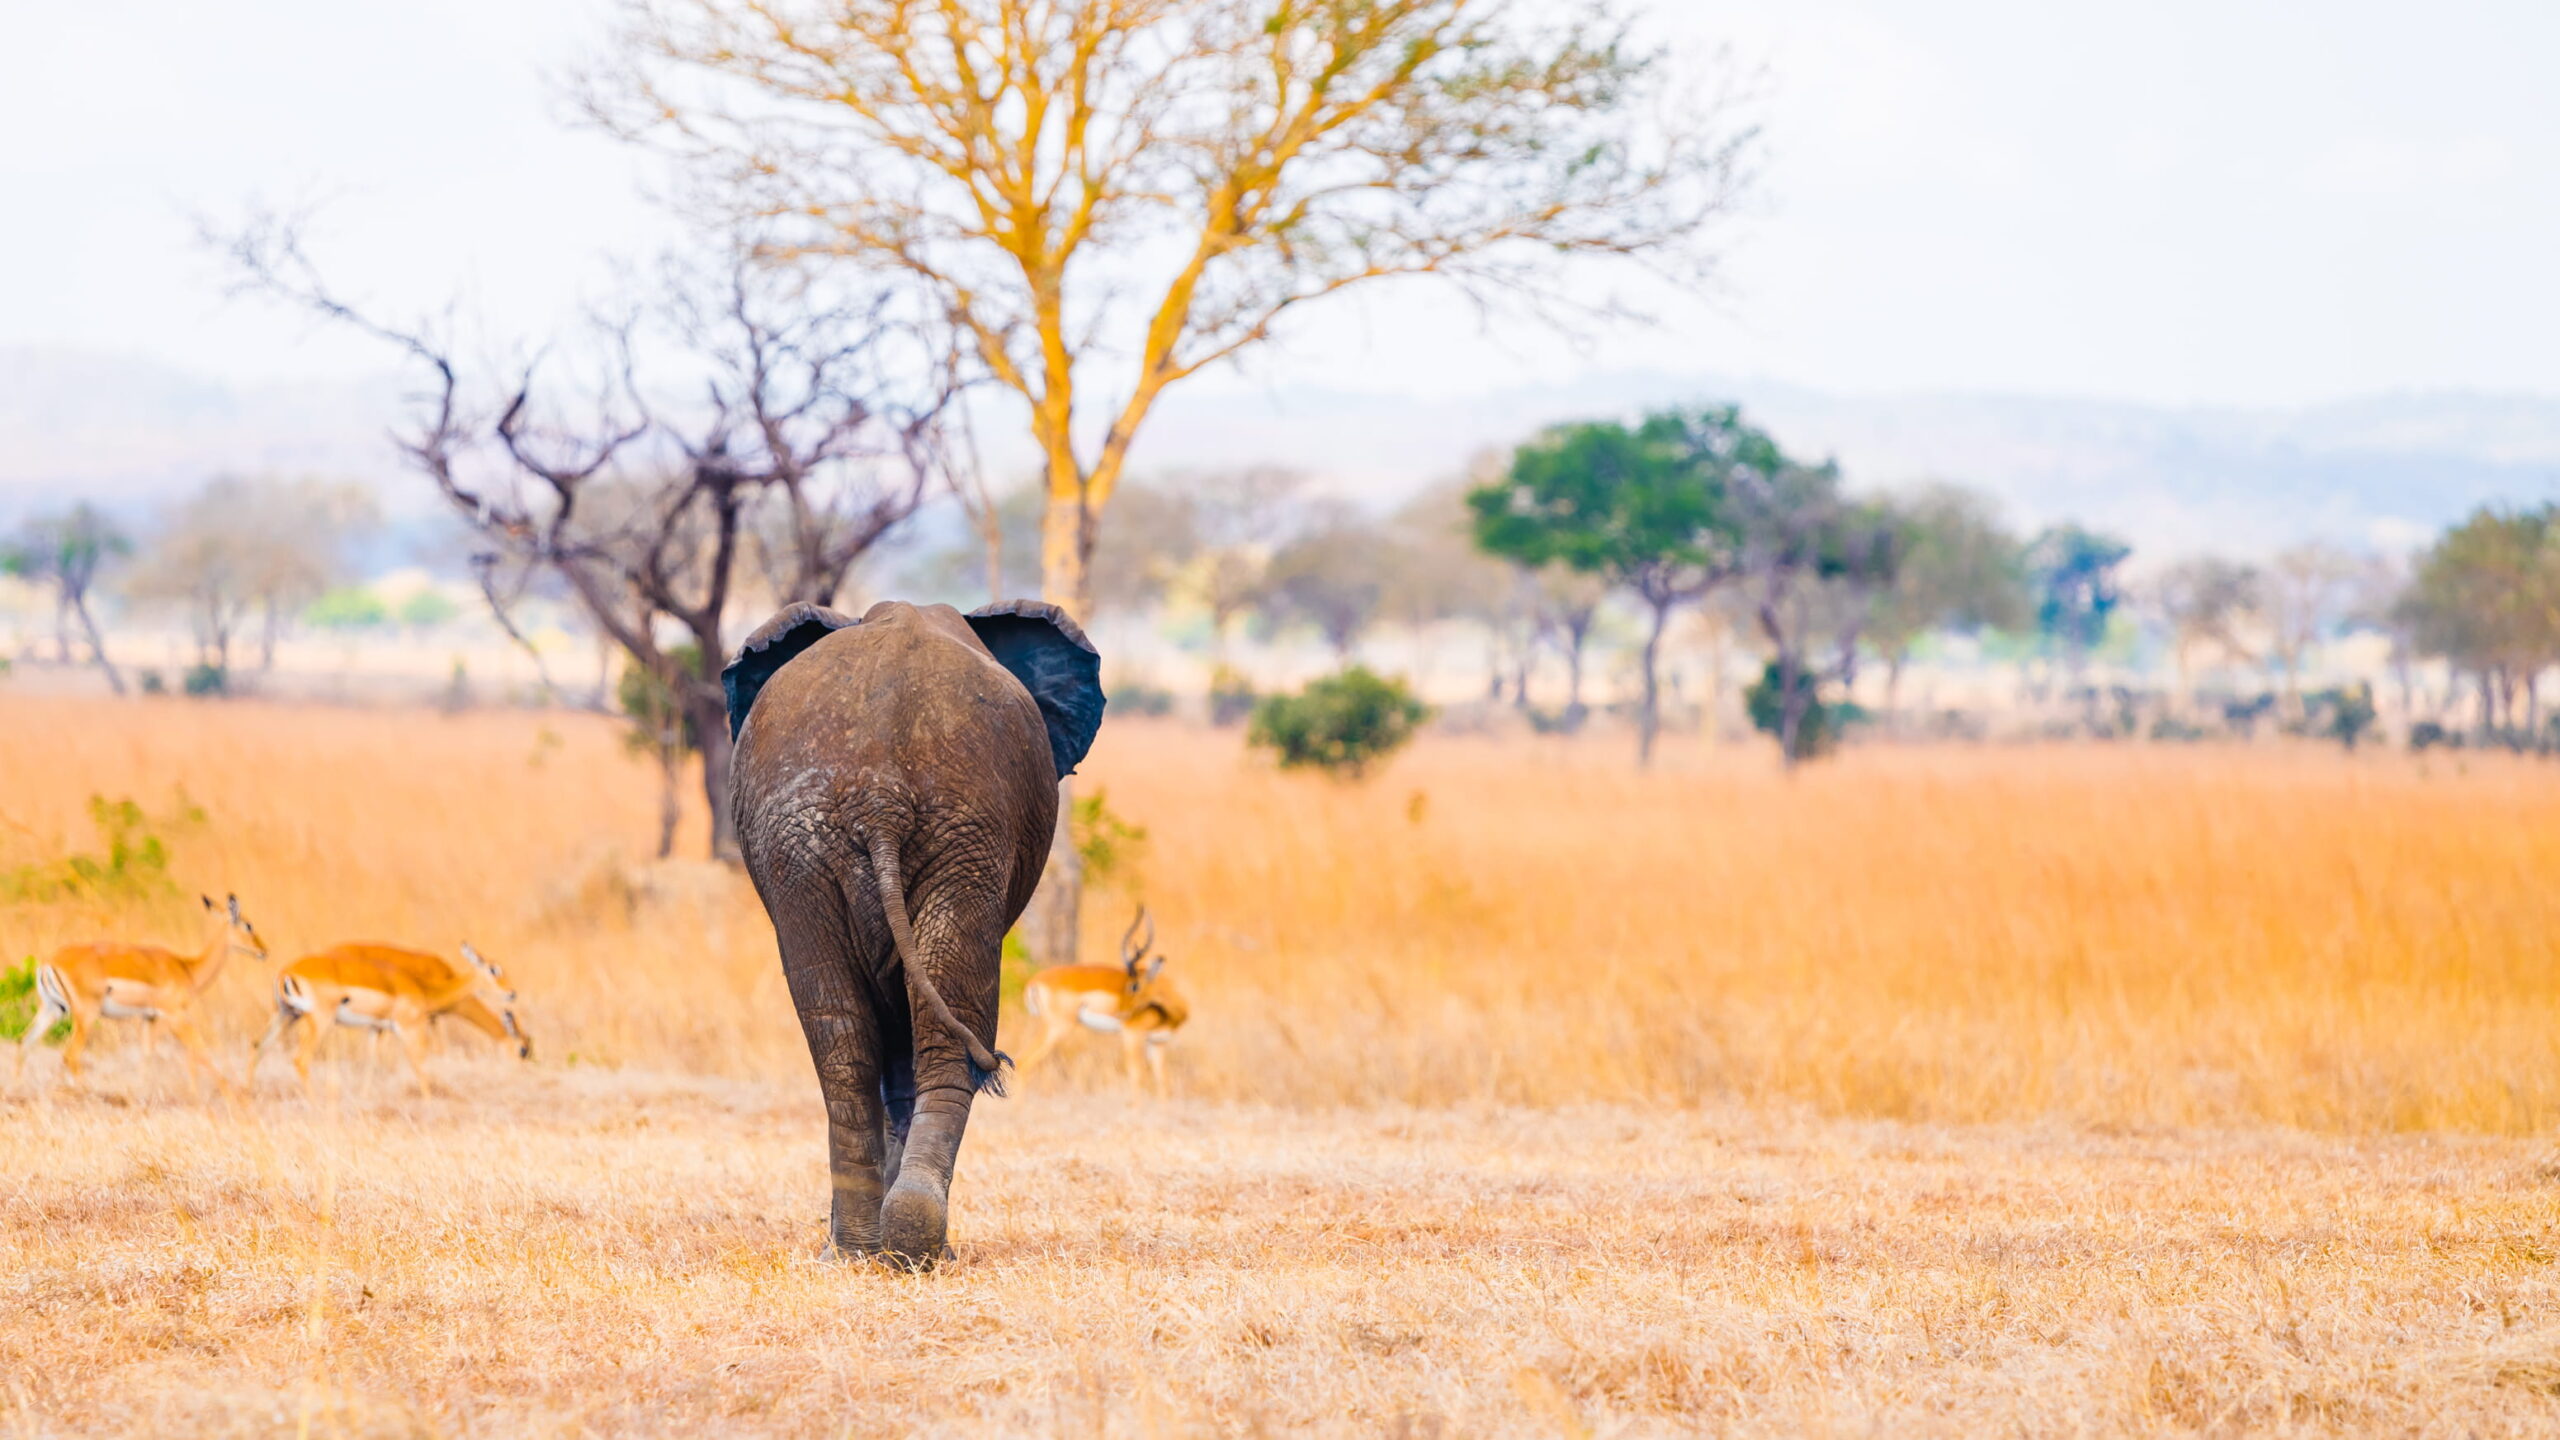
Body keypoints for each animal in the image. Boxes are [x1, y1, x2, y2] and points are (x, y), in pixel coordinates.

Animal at [732, 599, 1111, 1260]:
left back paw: (863, 1250)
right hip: (942, 837)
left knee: (844, 1039)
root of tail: (879, 797)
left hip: (824, 848)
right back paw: (912, 1246)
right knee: (933, 1030)